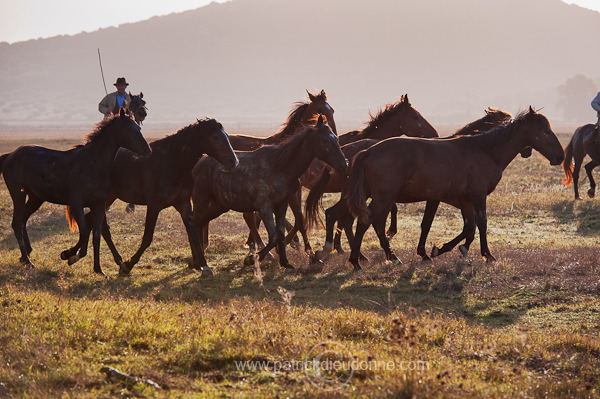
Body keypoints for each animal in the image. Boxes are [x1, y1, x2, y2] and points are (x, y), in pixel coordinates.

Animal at [0, 110, 150, 278]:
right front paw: (67, 254)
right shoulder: (76, 204)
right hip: (18, 195)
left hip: (35, 198)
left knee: (23, 219)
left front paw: (98, 269)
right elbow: (84, 233)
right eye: (129, 130)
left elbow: (96, 235)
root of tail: (10, 155)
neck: (92, 164)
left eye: (139, 128)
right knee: (16, 223)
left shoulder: (98, 205)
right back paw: (27, 260)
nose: (147, 150)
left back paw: (26, 254)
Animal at [60, 117, 239, 276]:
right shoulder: (154, 205)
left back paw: (79, 256)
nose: (234, 161)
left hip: (107, 198)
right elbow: (147, 237)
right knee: (95, 224)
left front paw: (204, 266)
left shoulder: (183, 204)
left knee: (94, 223)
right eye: (215, 137)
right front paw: (129, 265)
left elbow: (194, 233)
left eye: (226, 136)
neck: (171, 163)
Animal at [192, 115, 346, 272]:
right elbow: (274, 237)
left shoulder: (281, 205)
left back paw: (197, 262)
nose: (343, 164)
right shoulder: (264, 207)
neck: (280, 167)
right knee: (194, 225)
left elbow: (281, 233)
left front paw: (285, 263)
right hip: (203, 203)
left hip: (218, 206)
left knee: (199, 224)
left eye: (336, 139)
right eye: (325, 141)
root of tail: (199, 162)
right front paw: (252, 258)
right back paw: (202, 264)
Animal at [344, 108, 564, 272]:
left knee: (377, 224)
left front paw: (444, 249)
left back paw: (392, 256)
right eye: (546, 131)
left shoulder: (465, 200)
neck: (485, 150)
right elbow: (481, 224)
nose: (560, 156)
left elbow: (469, 227)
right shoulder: (478, 196)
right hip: (384, 197)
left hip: (385, 198)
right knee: (365, 222)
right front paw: (487, 255)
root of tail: (369, 150)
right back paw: (356, 261)